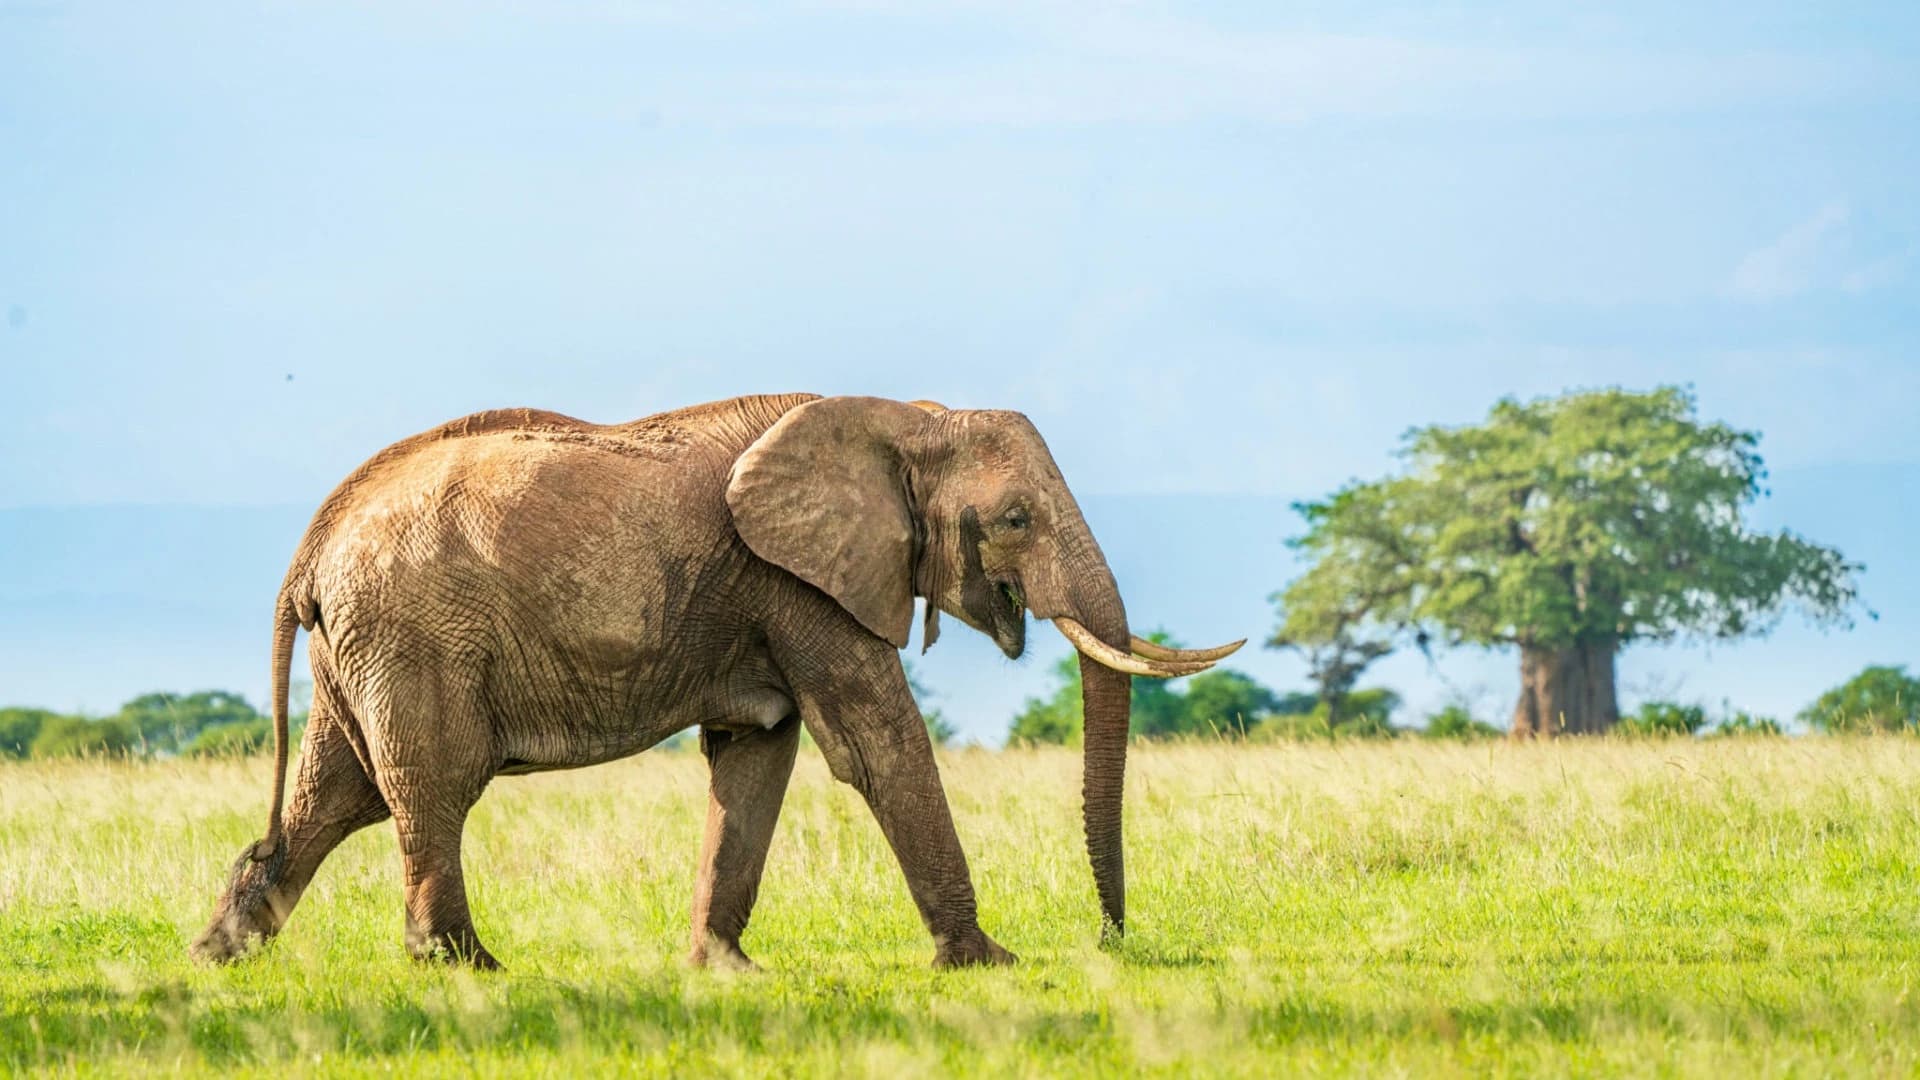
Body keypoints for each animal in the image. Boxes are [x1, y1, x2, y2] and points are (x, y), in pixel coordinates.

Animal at [190, 394, 1241, 970]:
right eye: (1017, 519)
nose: (1110, 941)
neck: (906, 418)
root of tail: (311, 547)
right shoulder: (800, 583)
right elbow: (877, 746)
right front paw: (988, 963)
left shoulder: (775, 598)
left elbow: (756, 757)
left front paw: (725, 971)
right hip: (414, 641)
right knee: (431, 790)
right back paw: (469, 969)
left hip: (366, 648)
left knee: (337, 798)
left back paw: (217, 958)